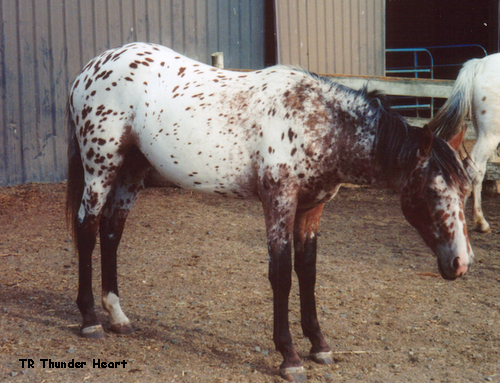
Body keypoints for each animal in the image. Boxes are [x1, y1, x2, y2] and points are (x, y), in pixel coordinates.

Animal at [66, 42, 472, 380]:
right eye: (431, 190)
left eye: (466, 190)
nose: (461, 264)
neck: (320, 125)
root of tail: (91, 68)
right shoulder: (279, 202)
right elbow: (281, 274)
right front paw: (289, 357)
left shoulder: (311, 208)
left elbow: (307, 271)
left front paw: (319, 345)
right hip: (101, 166)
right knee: (87, 227)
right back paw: (90, 320)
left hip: (132, 169)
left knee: (112, 230)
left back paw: (118, 316)